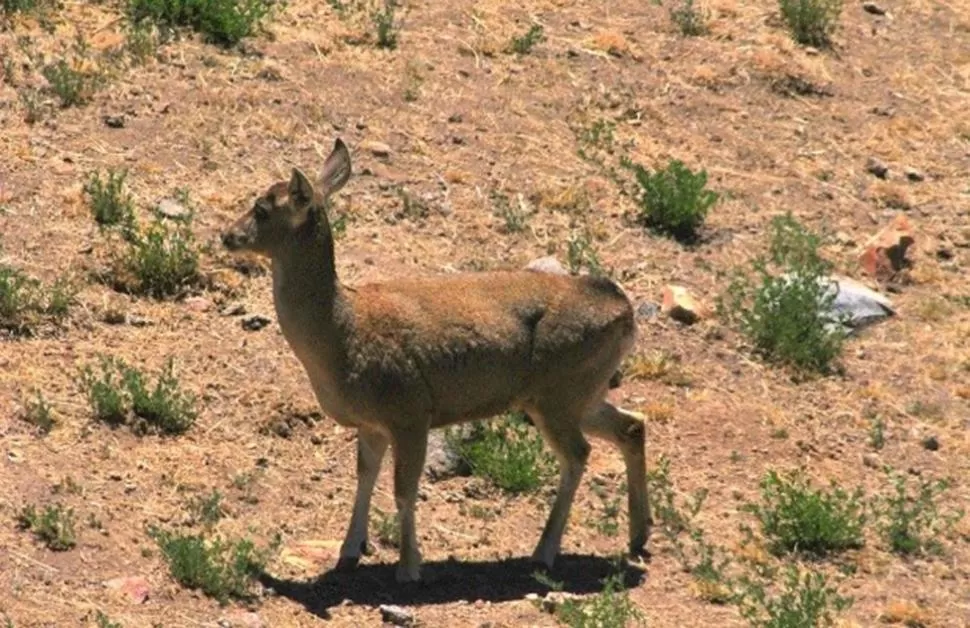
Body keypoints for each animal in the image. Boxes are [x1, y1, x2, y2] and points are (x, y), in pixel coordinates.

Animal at [221, 139, 652, 584]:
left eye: (261, 209)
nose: (227, 236)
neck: (340, 332)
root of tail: (625, 311)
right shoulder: (372, 423)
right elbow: (364, 476)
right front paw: (349, 552)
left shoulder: (409, 410)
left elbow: (403, 489)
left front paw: (409, 567)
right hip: (580, 391)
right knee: (632, 425)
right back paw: (638, 537)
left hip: (559, 394)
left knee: (579, 454)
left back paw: (544, 552)